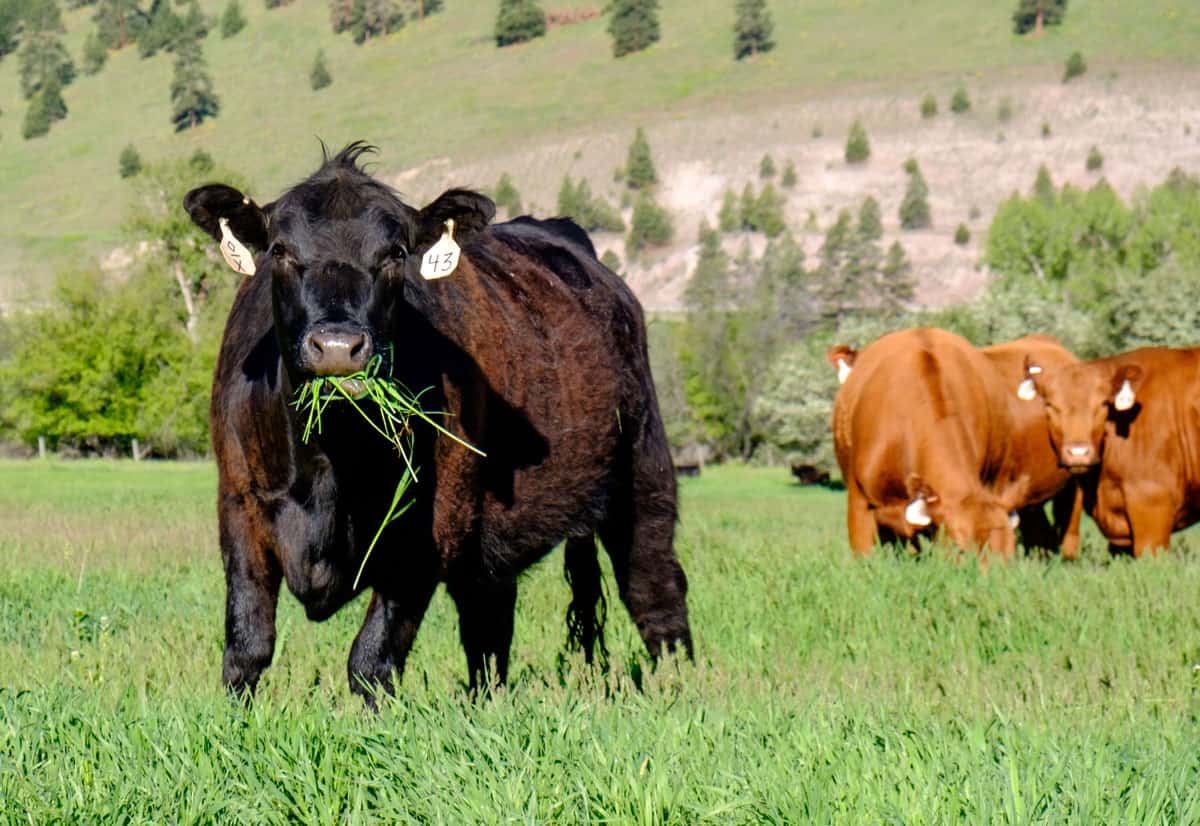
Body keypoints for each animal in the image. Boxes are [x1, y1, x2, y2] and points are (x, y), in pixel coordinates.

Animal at [187, 143, 696, 701]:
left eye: (396, 254)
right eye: (279, 250)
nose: (338, 347)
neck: (328, 463)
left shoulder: (428, 529)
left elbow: (371, 660)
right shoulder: (239, 507)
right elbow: (247, 647)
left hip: (643, 473)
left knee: (655, 591)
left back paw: (680, 688)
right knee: (488, 622)